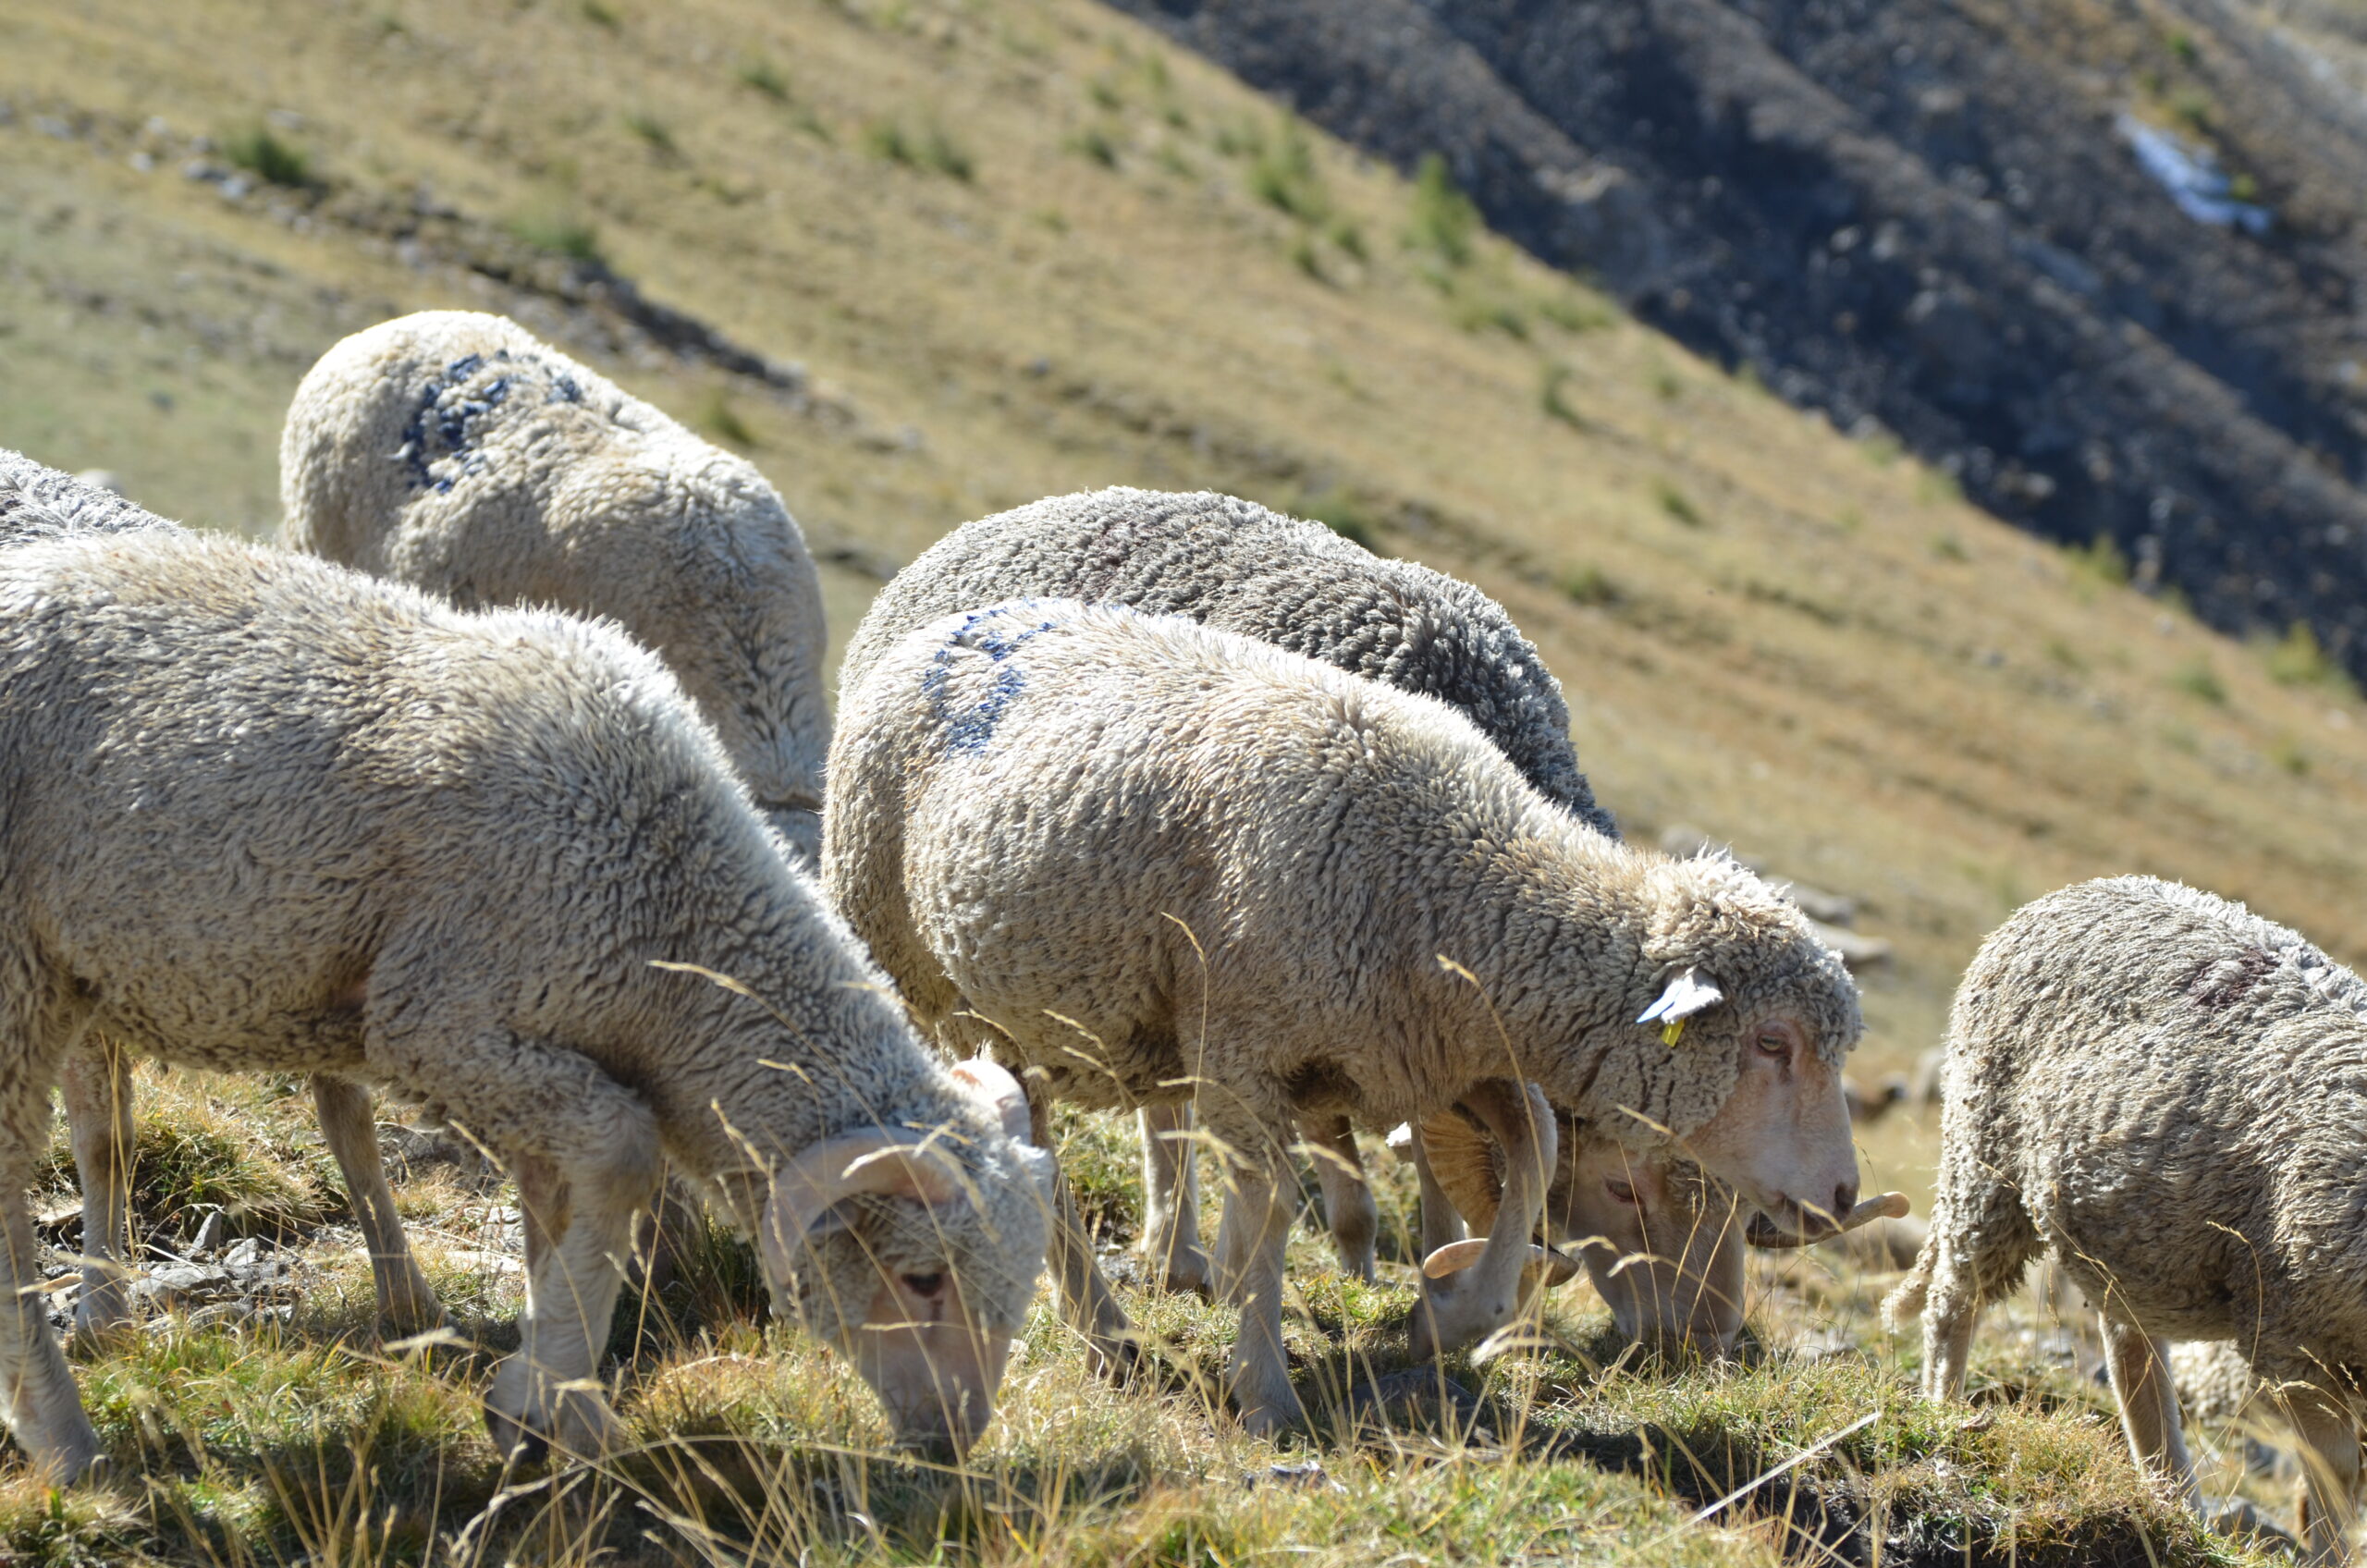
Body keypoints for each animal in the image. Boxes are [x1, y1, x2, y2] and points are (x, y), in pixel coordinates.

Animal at [0, 507, 1046, 1487]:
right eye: (920, 1279)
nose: (953, 1445)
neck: (666, 920)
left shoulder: (525, 1064)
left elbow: (559, 1211)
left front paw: (563, 1408)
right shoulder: (437, 1020)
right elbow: (624, 1154)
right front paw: (541, 1399)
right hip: (16, 967)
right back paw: (62, 1435)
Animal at [1894, 876, 2367, 1562]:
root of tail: (2065, 894)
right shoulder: (2298, 1334)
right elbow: (2334, 1476)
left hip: (2127, 1232)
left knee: (2130, 1350)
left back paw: (2173, 1498)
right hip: (1983, 1160)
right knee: (1954, 1302)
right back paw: (1944, 1415)